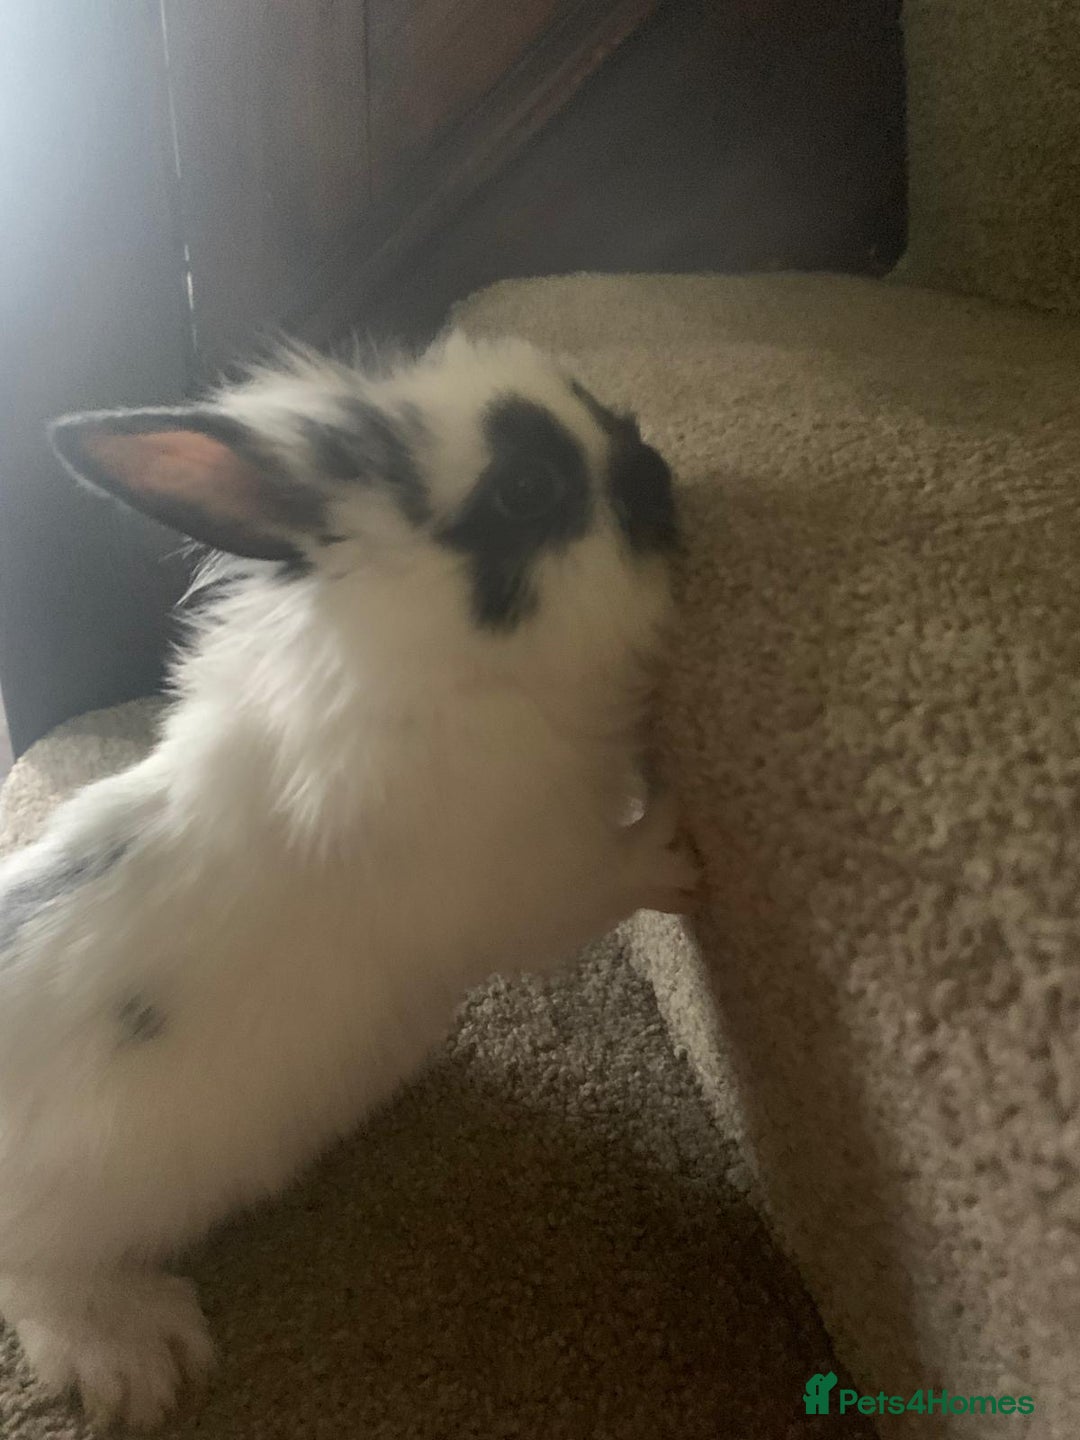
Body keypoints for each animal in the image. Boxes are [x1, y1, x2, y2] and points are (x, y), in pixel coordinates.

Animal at [0, 331, 698, 1429]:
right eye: (527, 488)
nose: (658, 469)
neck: (438, 657)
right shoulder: (530, 882)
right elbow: (606, 880)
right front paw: (675, 841)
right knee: (34, 1287)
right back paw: (142, 1356)